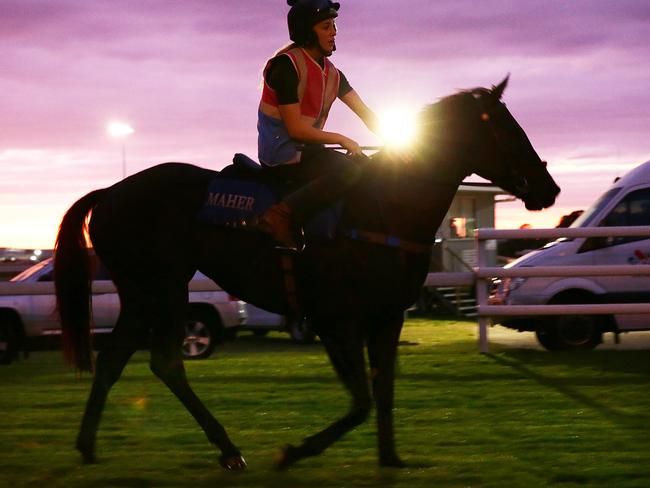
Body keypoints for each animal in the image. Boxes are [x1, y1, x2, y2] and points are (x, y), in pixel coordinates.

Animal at [54, 78, 556, 470]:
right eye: (508, 130)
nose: (549, 188)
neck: (384, 210)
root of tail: (111, 192)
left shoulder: (387, 317)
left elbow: (384, 391)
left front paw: (391, 458)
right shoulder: (337, 321)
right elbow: (361, 401)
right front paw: (293, 452)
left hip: (141, 295)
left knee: (114, 360)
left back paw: (87, 446)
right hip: (164, 289)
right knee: (165, 362)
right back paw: (227, 448)